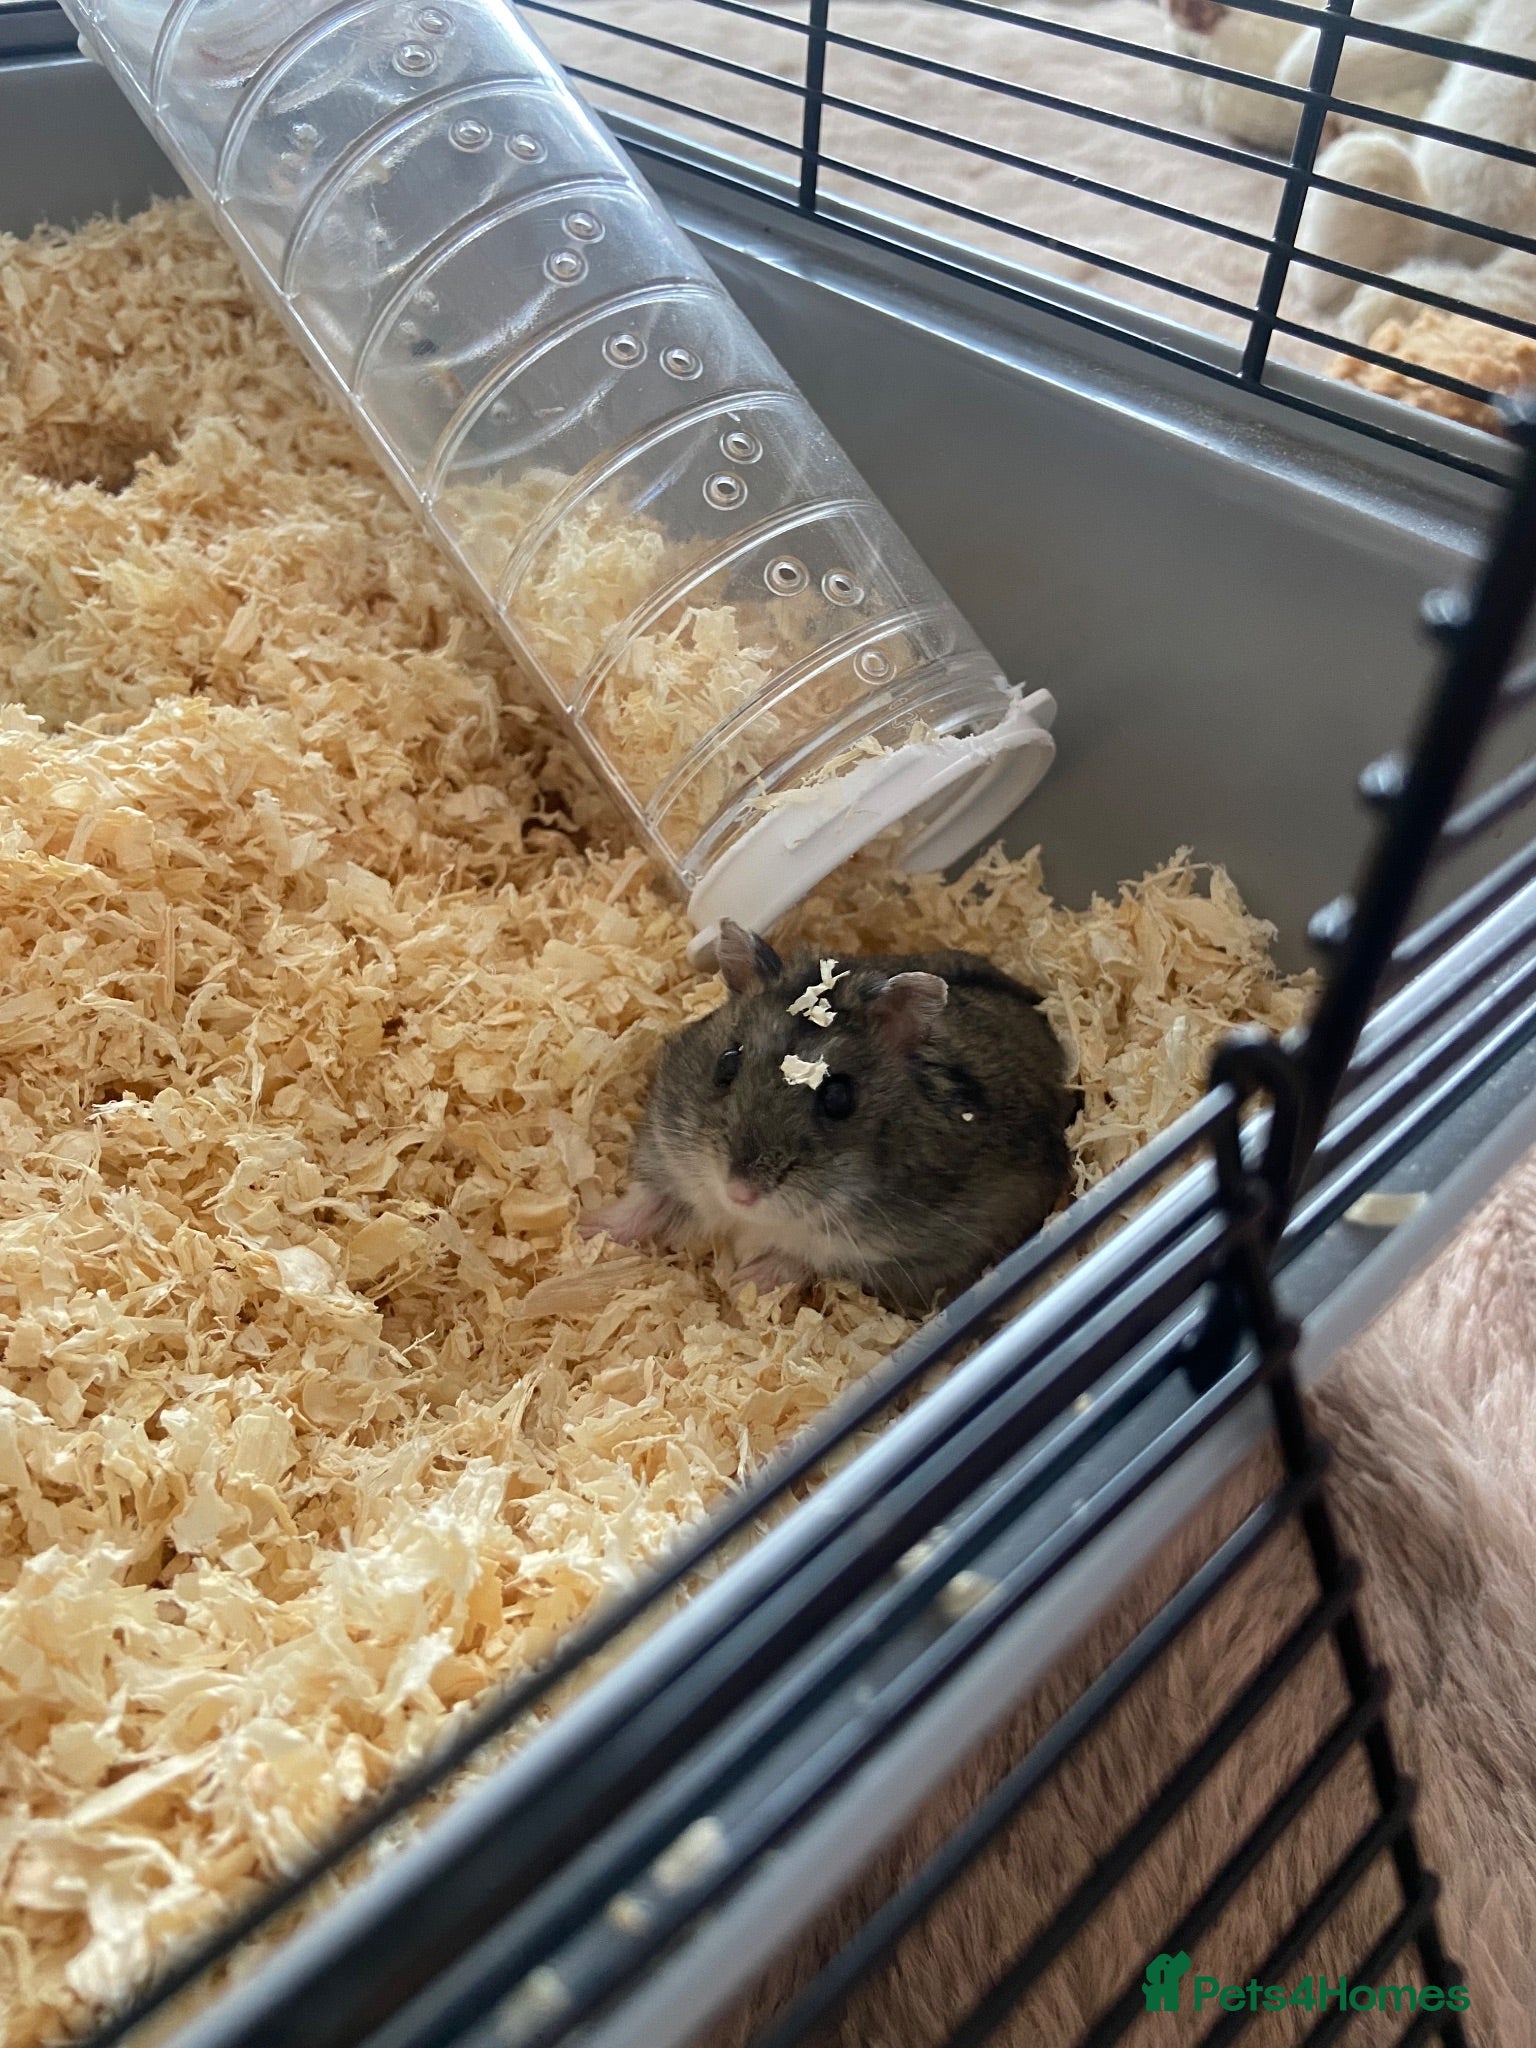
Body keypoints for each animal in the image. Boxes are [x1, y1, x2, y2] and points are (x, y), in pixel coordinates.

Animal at [579, 920, 1076, 1317]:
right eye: (726, 1062)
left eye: (839, 1098)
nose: (739, 1193)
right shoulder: (665, 1145)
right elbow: (645, 1200)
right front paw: (586, 1230)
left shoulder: (913, 1251)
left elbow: (807, 1260)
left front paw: (739, 1286)